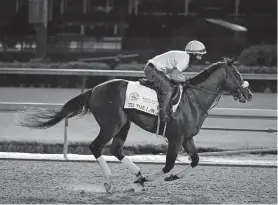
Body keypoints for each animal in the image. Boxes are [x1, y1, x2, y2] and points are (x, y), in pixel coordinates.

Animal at [17, 57, 252, 191]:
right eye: (237, 73)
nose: (248, 93)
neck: (193, 100)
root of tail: (94, 89)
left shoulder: (187, 139)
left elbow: (195, 160)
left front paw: (169, 177)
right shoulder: (175, 139)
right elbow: (168, 164)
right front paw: (150, 179)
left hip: (124, 125)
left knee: (116, 149)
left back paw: (137, 174)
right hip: (111, 124)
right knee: (96, 146)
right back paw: (111, 181)